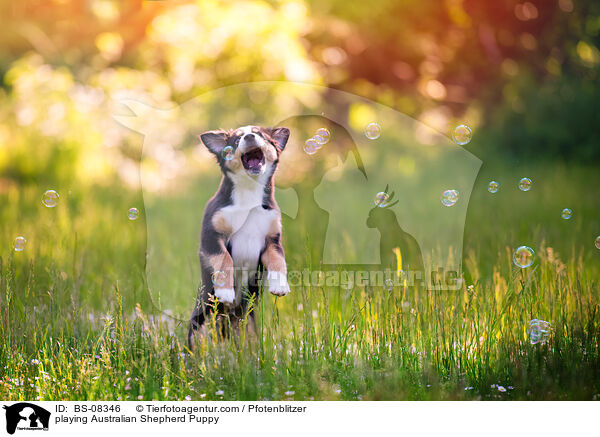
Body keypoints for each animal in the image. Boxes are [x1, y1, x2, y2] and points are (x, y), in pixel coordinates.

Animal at [188, 124, 290, 346]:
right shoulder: (212, 237)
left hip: (248, 322)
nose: (250, 137)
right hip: (201, 318)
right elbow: (225, 259)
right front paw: (225, 291)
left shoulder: (272, 241)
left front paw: (280, 285)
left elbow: (279, 261)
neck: (249, 194)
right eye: (236, 141)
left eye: (261, 135)